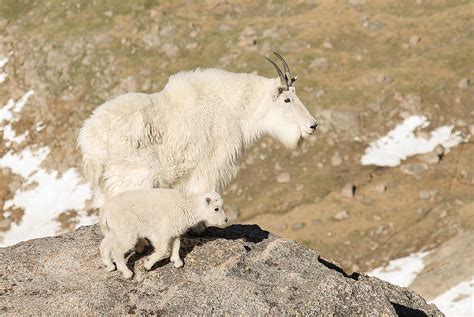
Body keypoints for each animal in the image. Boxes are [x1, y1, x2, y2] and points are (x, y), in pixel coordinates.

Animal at [78, 52, 318, 207]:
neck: (234, 108)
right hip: (133, 178)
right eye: (287, 99)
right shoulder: (210, 166)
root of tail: (90, 144)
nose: (312, 125)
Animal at [99, 188, 227, 276]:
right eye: (216, 209)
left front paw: (177, 262)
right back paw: (127, 273)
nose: (226, 220)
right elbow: (162, 249)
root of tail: (106, 212)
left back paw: (110, 266)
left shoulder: (174, 231)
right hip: (127, 230)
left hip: (114, 230)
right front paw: (147, 264)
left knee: (105, 245)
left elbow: (176, 245)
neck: (185, 206)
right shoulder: (160, 231)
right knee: (117, 250)